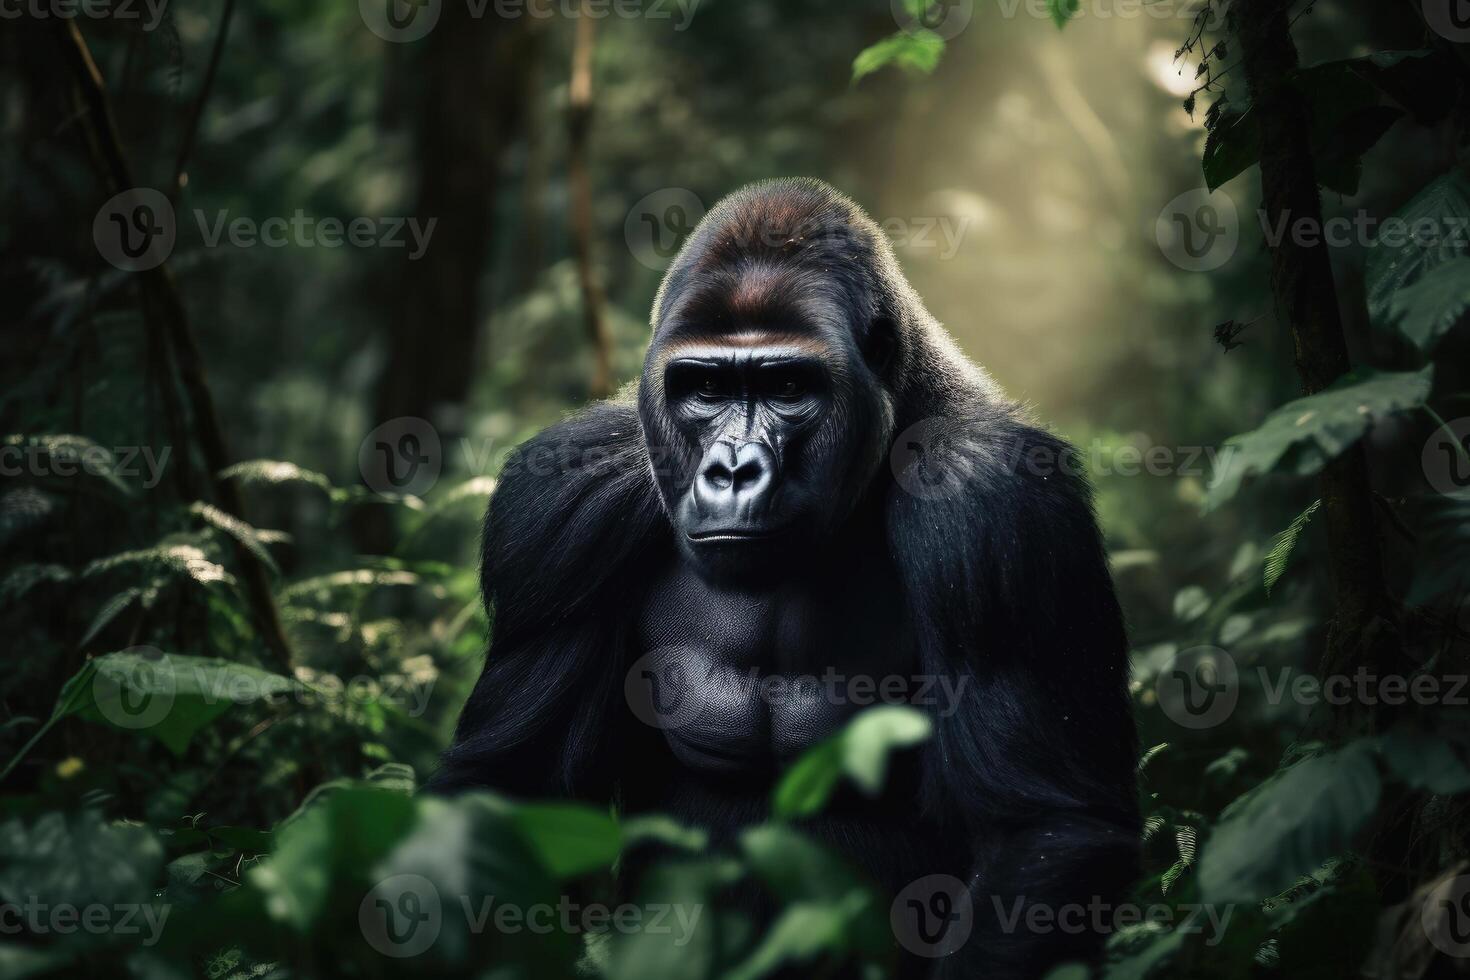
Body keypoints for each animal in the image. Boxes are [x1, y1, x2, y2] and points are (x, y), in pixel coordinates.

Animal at [429, 179, 1140, 975]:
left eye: (787, 385)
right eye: (705, 388)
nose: (733, 470)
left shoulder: (1001, 503)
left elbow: (1043, 833)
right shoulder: (556, 505)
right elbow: (507, 793)